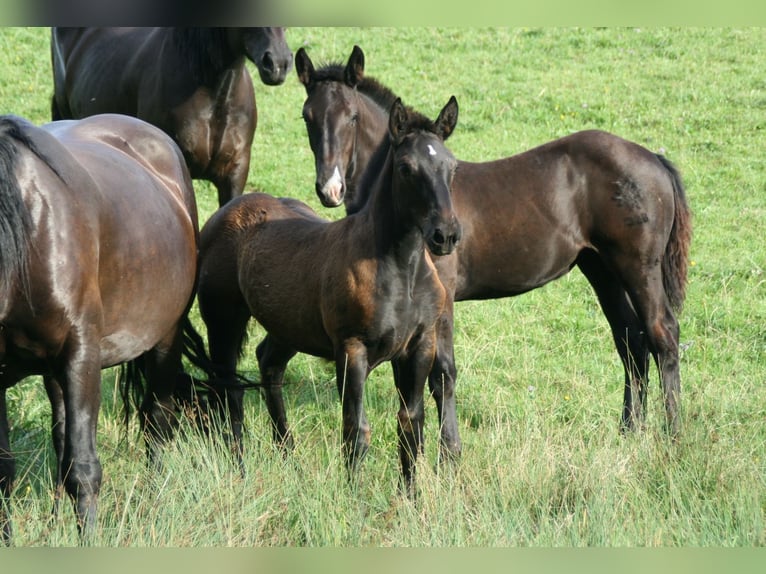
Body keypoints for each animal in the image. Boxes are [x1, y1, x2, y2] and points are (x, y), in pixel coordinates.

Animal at [0, 113, 199, 543]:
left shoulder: (82, 357)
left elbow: (84, 469)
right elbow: (6, 470)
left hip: (164, 340)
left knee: (157, 419)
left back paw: (155, 497)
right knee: (62, 438)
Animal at [192, 96, 461, 494]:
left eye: (451, 166)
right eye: (406, 168)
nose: (445, 235)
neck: (402, 270)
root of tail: (220, 215)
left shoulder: (419, 347)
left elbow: (411, 425)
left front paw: (411, 498)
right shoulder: (351, 349)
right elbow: (356, 430)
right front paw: (355, 499)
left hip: (289, 326)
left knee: (268, 363)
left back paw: (288, 457)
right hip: (224, 322)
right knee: (229, 389)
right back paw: (239, 467)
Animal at [295, 45, 693, 458]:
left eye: (352, 116)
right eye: (308, 116)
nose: (330, 188)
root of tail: (654, 159)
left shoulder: (441, 301)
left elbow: (443, 373)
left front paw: (449, 452)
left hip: (638, 267)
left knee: (663, 334)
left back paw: (673, 436)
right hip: (601, 268)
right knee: (630, 340)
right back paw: (630, 430)